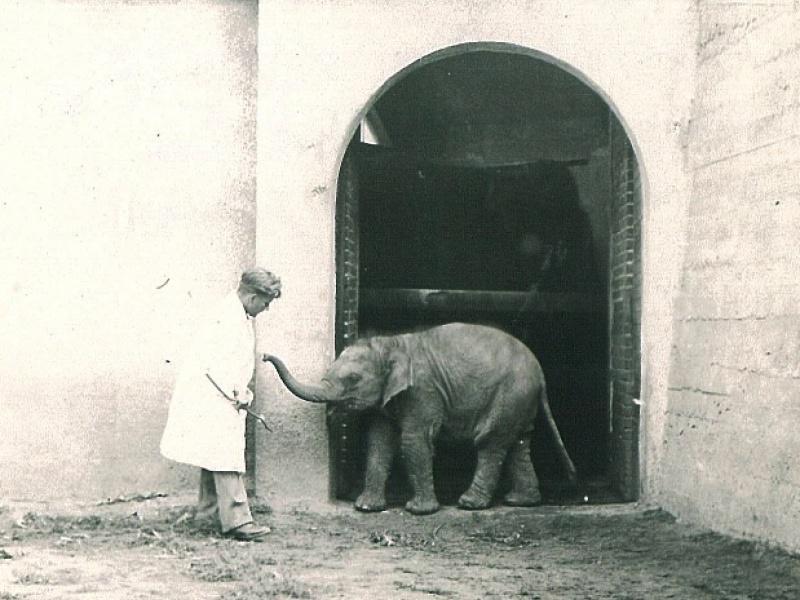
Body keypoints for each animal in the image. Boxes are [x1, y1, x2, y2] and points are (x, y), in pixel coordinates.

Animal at [266, 322, 580, 512]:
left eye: (353, 379)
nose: (265, 356)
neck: (391, 345)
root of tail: (540, 373)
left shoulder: (422, 391)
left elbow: (413, 441)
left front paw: (418, 511)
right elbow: (379, 442)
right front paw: (366, 508)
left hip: (510, 393)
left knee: (491, 443)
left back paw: (469, 504)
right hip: (518, 399)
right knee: (518, 443)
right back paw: (521, 501)